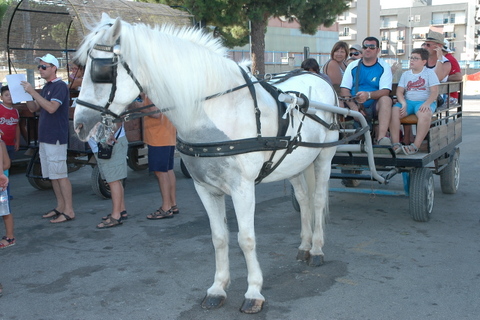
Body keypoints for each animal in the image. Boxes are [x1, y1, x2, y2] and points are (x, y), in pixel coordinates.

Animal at [73, 13, 340, 314]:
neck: (217, 110)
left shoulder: (243, 188)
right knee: (304, 200)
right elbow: (219, 237)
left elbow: (246, 239)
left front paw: (253, 292)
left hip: (324, 158)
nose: (79, 124)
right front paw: (218, 288)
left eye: (100, 71)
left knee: (317, 201)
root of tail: (316, 76)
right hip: (294, 164)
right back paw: (304, 246)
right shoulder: (205, 188)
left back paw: (316, 250)